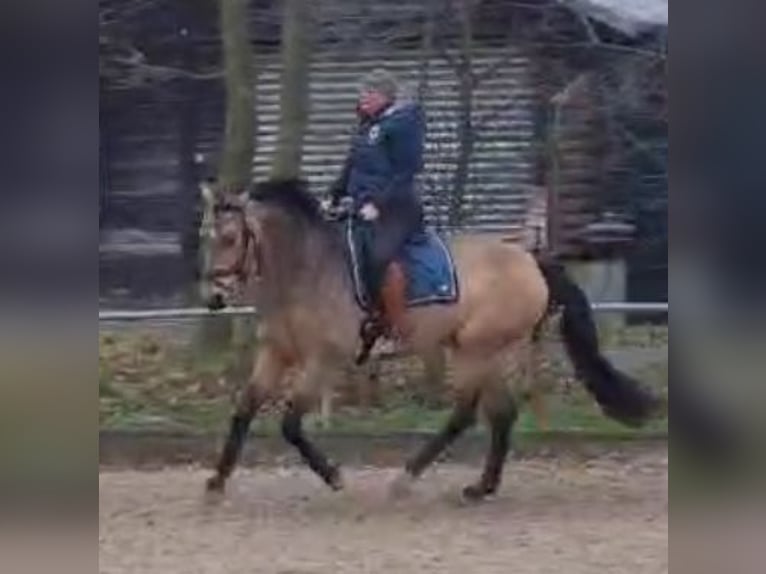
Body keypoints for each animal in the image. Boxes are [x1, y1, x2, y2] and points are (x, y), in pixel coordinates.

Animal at [206, 178, 664, 502]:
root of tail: (530, 258)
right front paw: (215, 483)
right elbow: (243, 409)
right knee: (502, 414)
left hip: (477, 351)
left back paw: (406, 479)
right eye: (209, 238)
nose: (213, 298)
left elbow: (289, 424)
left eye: (230, 238)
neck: (308, 268)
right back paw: (480, 488)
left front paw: (334, 477)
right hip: (483, 350)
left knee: (464, 415)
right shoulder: (276, 353)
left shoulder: (323, 360)